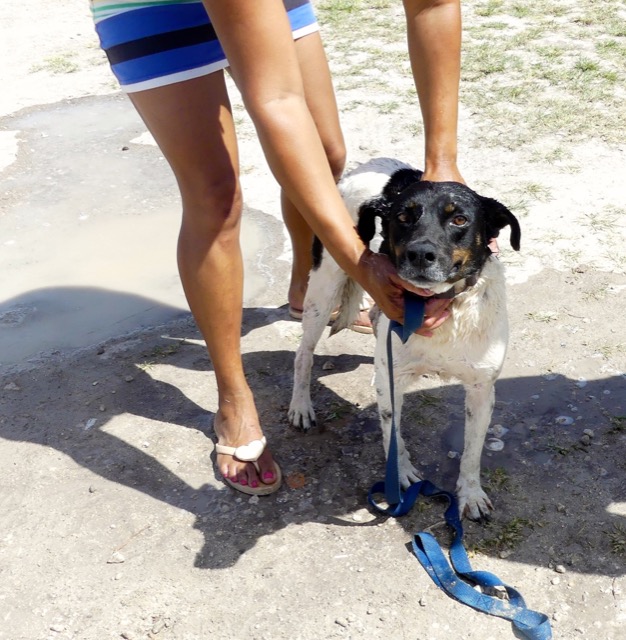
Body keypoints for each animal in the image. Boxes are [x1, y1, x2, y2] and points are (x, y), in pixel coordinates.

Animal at [286, 159, 516, 520]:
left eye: (459, 219)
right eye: (403, 218)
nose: (420, 254)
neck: (439, 306)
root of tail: (366, 166)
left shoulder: (482, 389)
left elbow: (472, 451)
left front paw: (471, 495)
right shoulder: (392, 380)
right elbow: (392, 432)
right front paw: (402, 474)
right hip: (322, 291)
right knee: (303, 354)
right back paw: (300, 406)